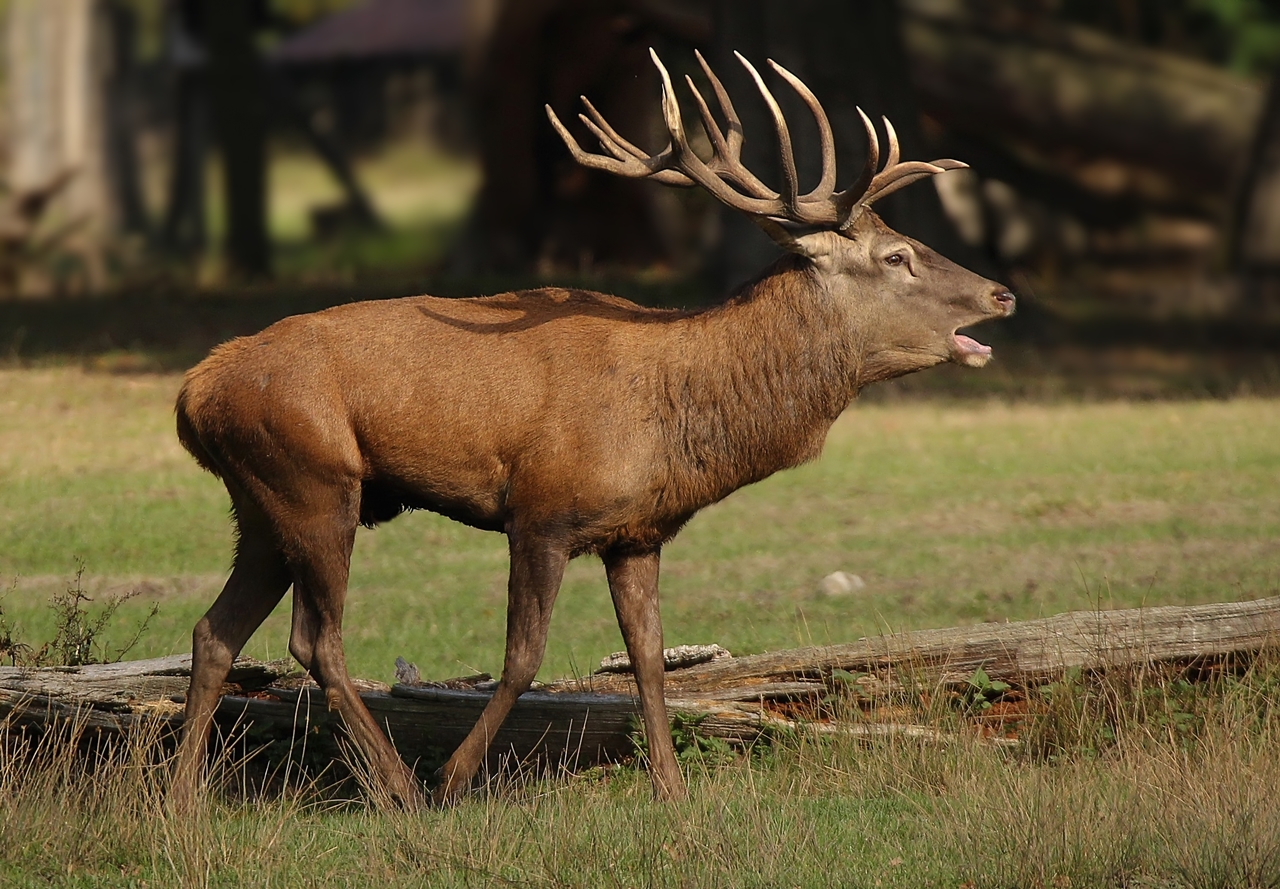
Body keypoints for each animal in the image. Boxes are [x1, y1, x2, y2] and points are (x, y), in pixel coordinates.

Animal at [172, 50, 1008, 813]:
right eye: (896, 255)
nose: (1000, 292)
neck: (682, 419)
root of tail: (192, 390)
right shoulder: (541, 508)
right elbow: (522, 657)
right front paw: (457, 777)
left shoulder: (638, 532)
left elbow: (648, 658)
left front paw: (671, 788)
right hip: (313, 478)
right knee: (316, 639)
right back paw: (403, 786)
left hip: (263, 504)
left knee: (217, 631)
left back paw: (184, 795)